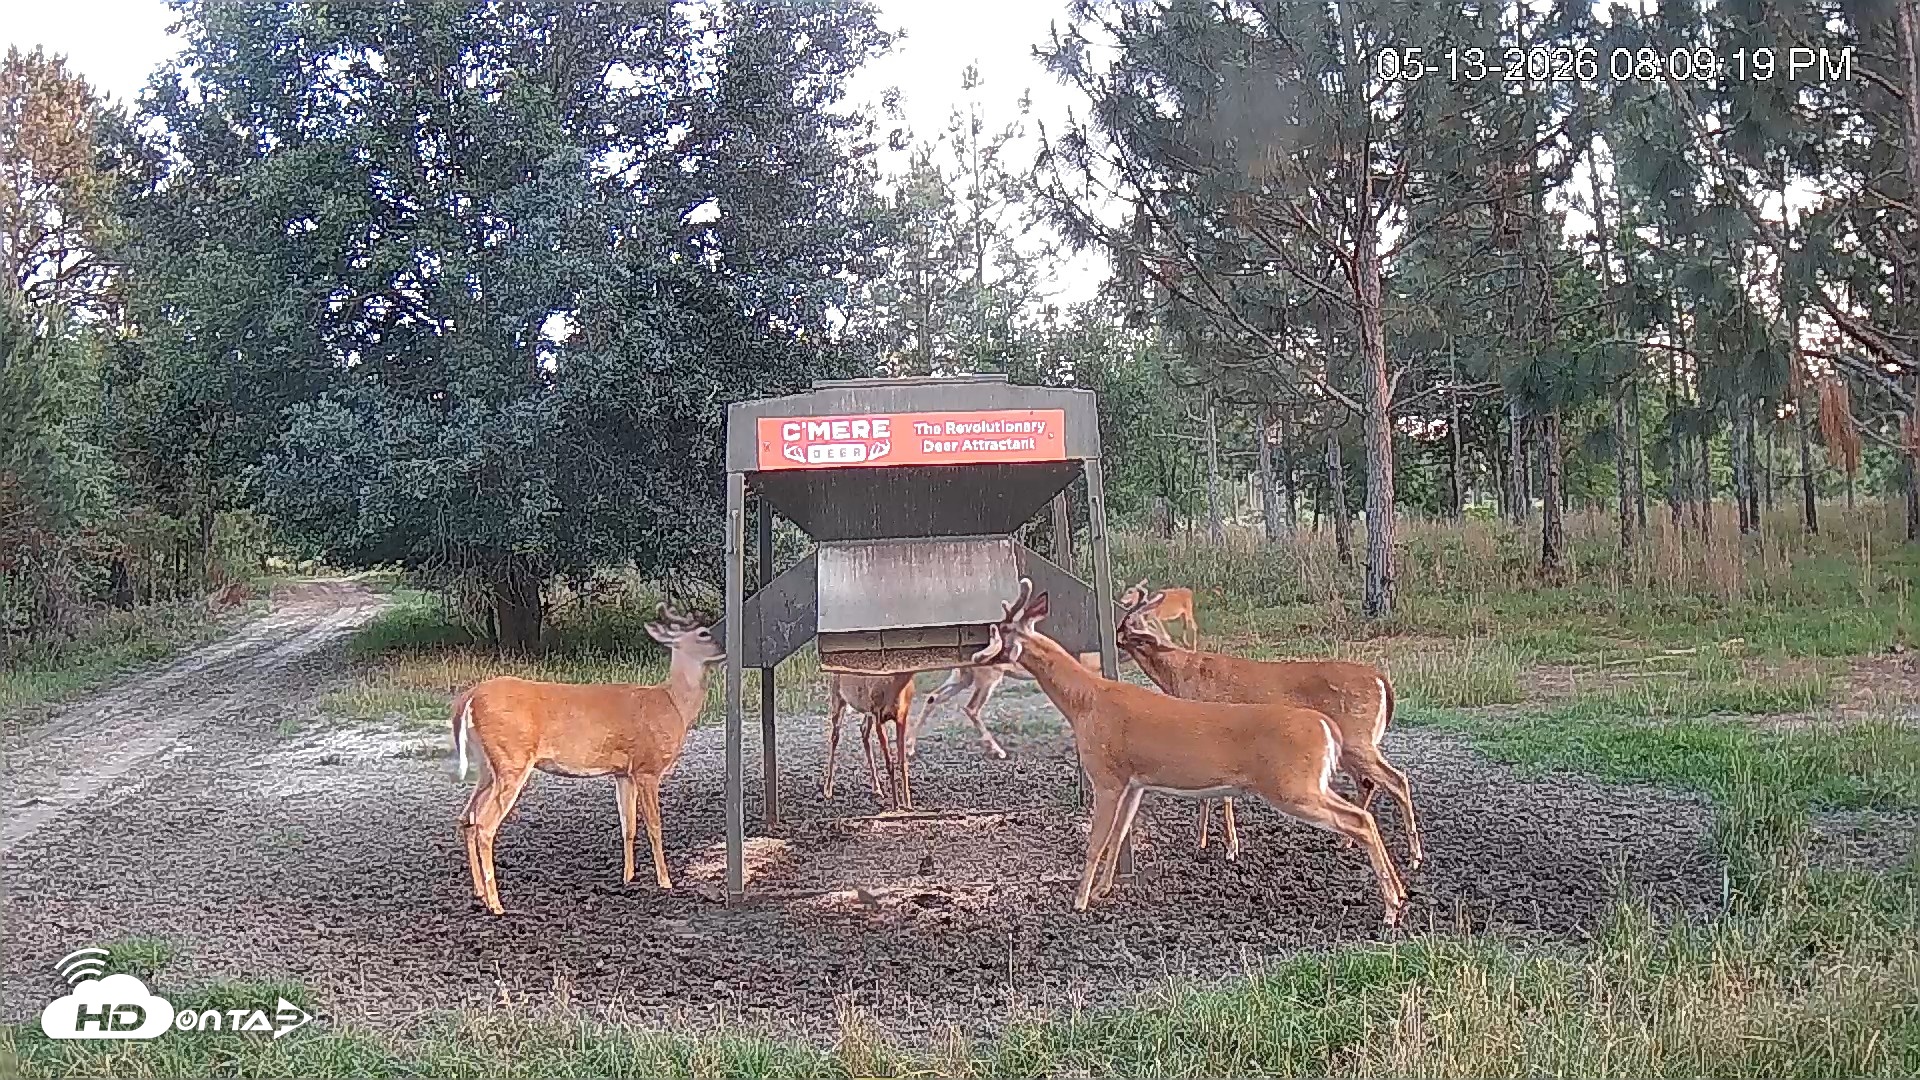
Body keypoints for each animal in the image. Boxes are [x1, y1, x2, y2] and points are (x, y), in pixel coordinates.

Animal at [449, 605, 722, 915]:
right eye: (704, 633)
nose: (724, 649)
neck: (673, 704)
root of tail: (468, 698)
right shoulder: (647, 768)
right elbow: (654, 826)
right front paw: (665, 881)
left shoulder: (623, 772)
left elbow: (628, 825)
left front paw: (628, 878)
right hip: (511, 761)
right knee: (484, 825)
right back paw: (496, 904)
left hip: (487, 766)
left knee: (466, 818)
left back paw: (479, 893)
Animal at [823, 672, 917, 809]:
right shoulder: (878, 715)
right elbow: (889, 764)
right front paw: (895, 805)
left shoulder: (902, 715)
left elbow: (903, 762)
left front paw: (909, 805)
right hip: (837, 695)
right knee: (835, 736)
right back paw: (828, 790)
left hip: (867, 709)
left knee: (863, 731)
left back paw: (877, 789)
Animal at [1115, 581, 1422, 871]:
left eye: (1121, 637)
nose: (1114, 650)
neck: (1182, 677)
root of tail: (1381, 679)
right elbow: (1207, 795)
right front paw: (1202, 842)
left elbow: (1220, 796)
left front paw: (1229, 848)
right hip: (1347, 747)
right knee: (1367, 784)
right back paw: (1347, 842)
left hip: (1358, 739)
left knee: (1396, 780)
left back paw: (1415, 856)